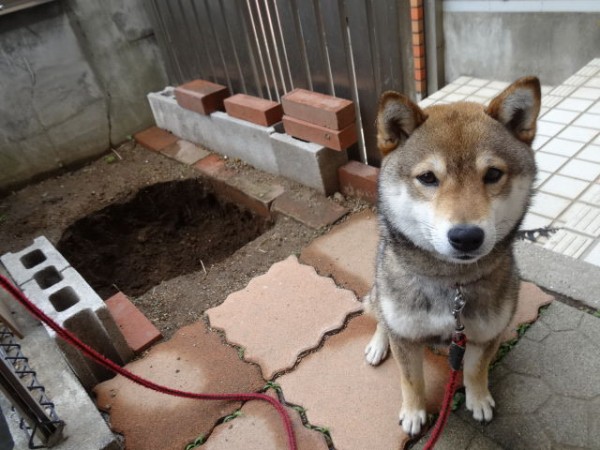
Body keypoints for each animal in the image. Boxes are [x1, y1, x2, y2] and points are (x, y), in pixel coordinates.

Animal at [364, 77, 540, 436]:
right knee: (379, 316)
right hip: (378, 292)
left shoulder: (486, 334)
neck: (452, 284)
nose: (466, 236)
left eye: (493, 174)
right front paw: (414, 412)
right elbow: (411, 380)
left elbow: (475, 370)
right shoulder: (405, 335)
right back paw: (378, 343)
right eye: (428, 177)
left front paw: (478, 399)